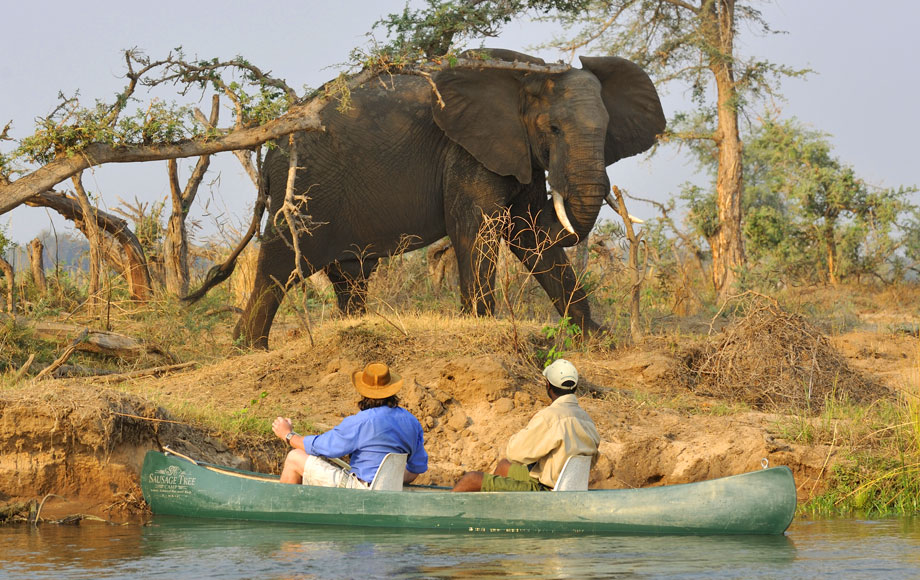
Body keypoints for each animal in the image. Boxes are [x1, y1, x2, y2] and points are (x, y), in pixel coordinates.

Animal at [229, 47, 660, 346]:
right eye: (553, 129)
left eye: (606, 130)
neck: (524, 75)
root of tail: (271, 152)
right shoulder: (468, 149)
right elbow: (479, 225)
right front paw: (481, 324)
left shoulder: (517, 148)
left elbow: (529, 233)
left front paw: (597, 338)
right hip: (307, 185)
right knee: (281, 263)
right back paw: (248, 349)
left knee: (350, 274)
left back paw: (354, 325)